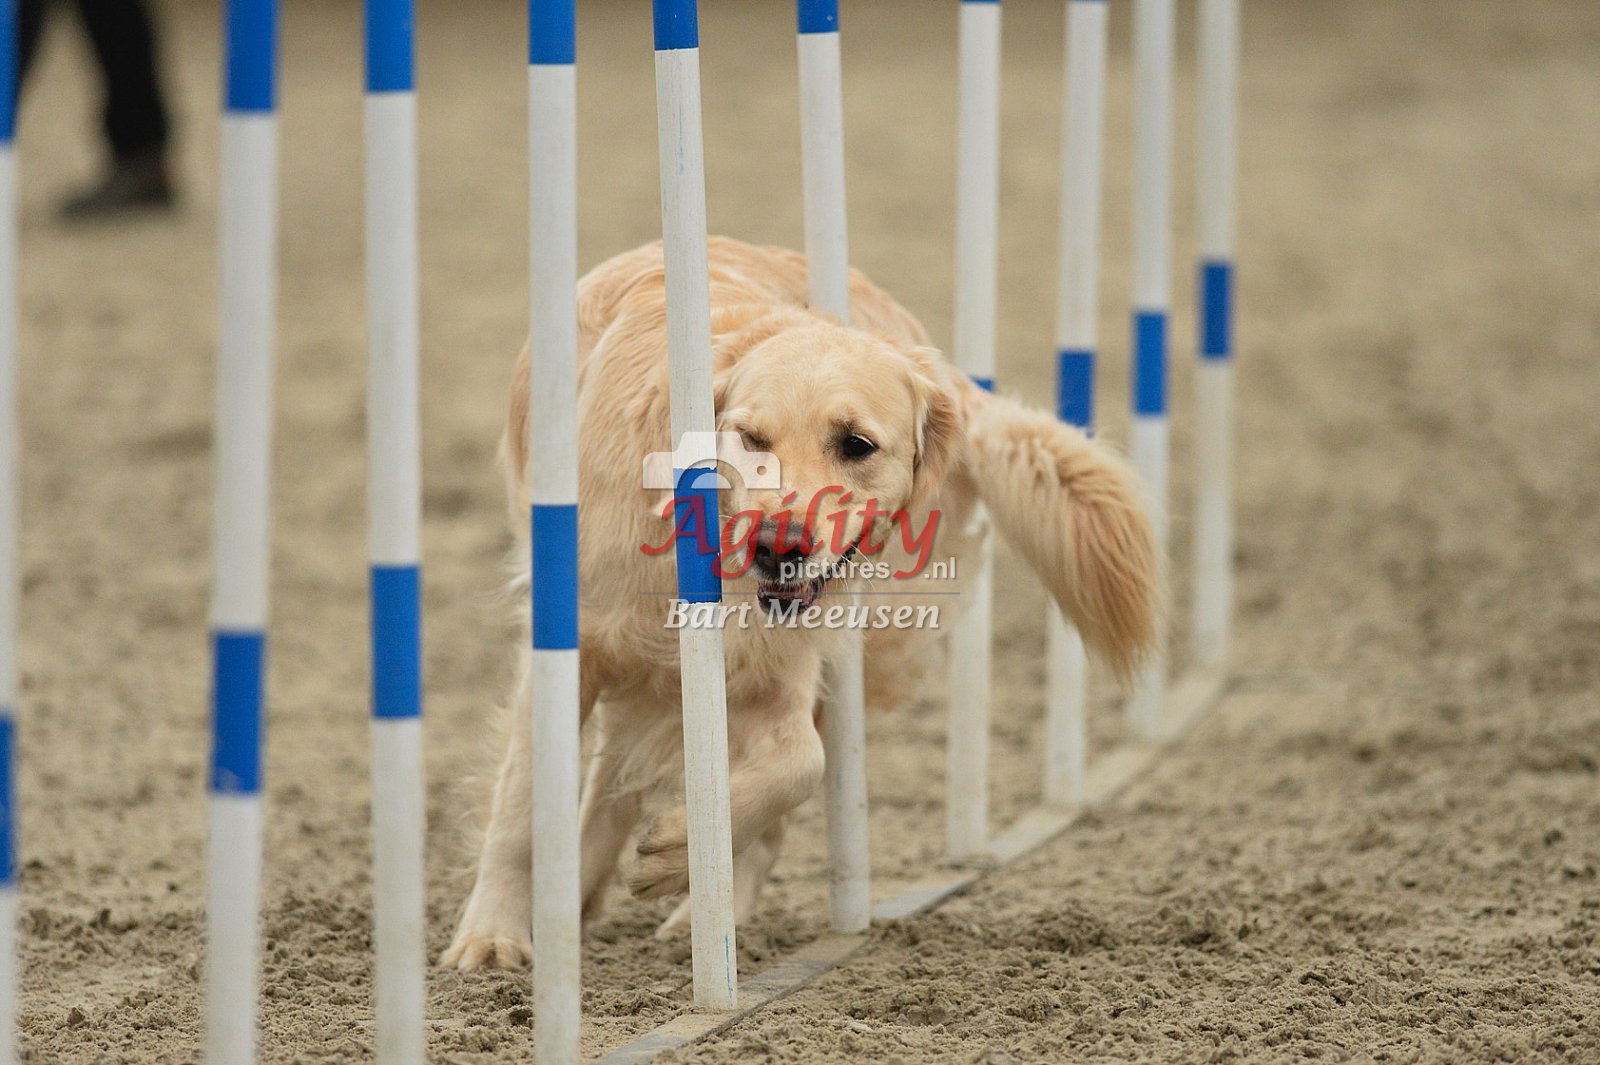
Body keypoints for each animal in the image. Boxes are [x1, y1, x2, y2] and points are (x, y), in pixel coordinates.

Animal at [441, 238, 1160, 969]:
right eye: (750, 439)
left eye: (856, 445)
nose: (775, 546)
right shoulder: (577, 638)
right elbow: (523, 801)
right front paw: (492, 936)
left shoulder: (774, 669)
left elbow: (799, 764)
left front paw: (681, 849)